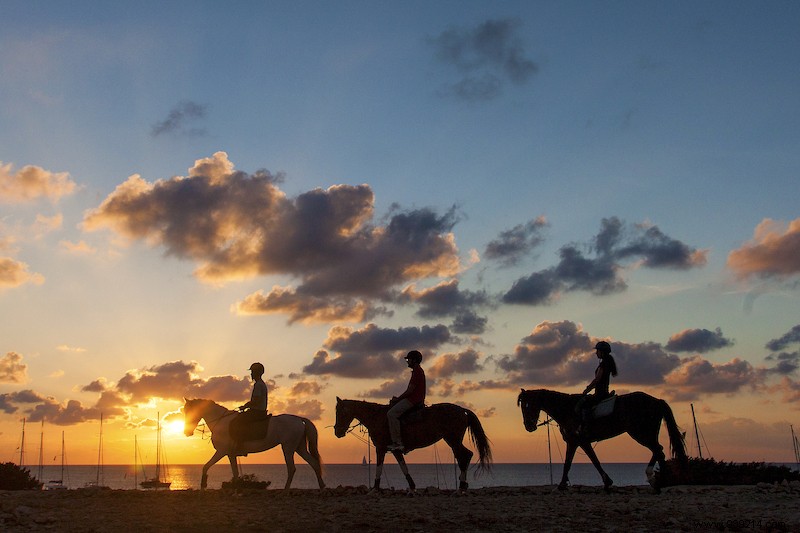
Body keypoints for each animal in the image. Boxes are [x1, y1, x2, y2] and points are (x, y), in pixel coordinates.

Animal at [184, 396, 324, 488]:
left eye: (190, 411)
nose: (187, 432)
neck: (221, 421)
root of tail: (299, 419)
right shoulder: (230, 454)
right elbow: (235, 472)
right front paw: (236, 489)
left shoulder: (221, 451)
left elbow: (206, 466)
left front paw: (203, 484)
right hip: (299, 447)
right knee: (314, 463)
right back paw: (321, 486)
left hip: (288, 448)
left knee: (292, 468)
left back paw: (286, 490)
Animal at [332, 400, 494, 490]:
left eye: (339, 412)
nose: (337, 432)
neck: (376, 417)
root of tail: (462, 410)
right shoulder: (394, 450)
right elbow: (403, 466)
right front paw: (412, 486)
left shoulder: (380, 448)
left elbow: (379, 467)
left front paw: (375, 488)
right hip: (453, 440)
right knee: (465, 456)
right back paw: (463, 484)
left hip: (453, 440)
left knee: (464, 456)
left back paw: (461, 486)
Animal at [520, 386, 688, 490]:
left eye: (527, 405)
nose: (528, 426)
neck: (567, 409)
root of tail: (657, 401)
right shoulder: (578, 442)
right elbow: (585, 461)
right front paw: (607, 482)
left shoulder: (577, 441)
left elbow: (579, 462)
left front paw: (561, 485)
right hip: (646, 433)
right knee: (658, 451)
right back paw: (660, 481)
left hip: (641, 433)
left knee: (658, 450)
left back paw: (659, 480)